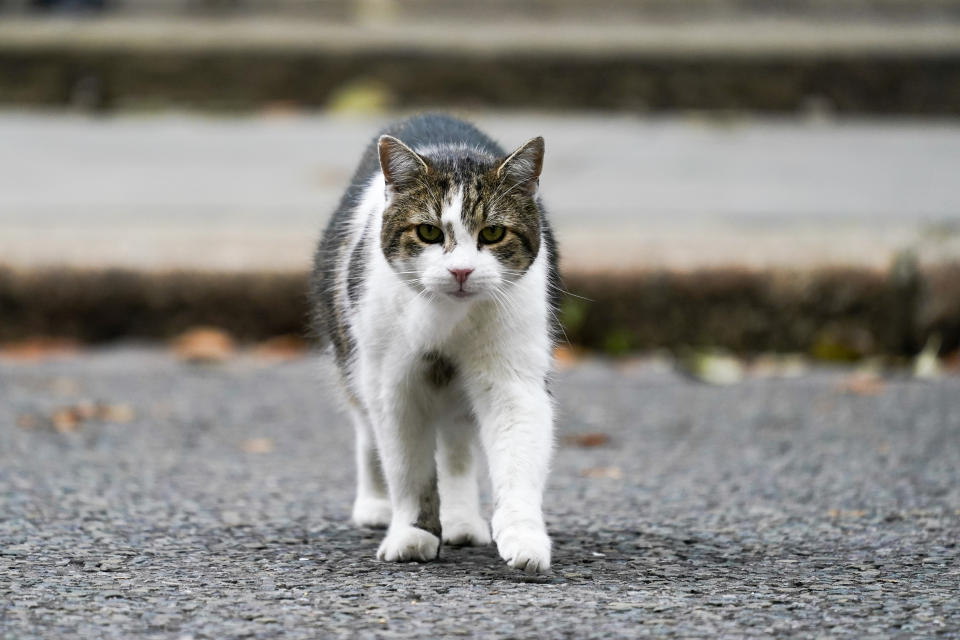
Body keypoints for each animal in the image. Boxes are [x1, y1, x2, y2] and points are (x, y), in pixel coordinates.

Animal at [312, 112, 560, 572]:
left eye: (493, 233)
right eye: (428, 232)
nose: (461, 271)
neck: (448, 319)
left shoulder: (513, 377)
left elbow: (516, 457)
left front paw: (524, 538)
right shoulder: (394, 386)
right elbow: (409, 469)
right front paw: (413, 534)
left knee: (457, 451)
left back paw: (461, 521)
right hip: (354, 356)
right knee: (367, 431)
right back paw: (375, 505)